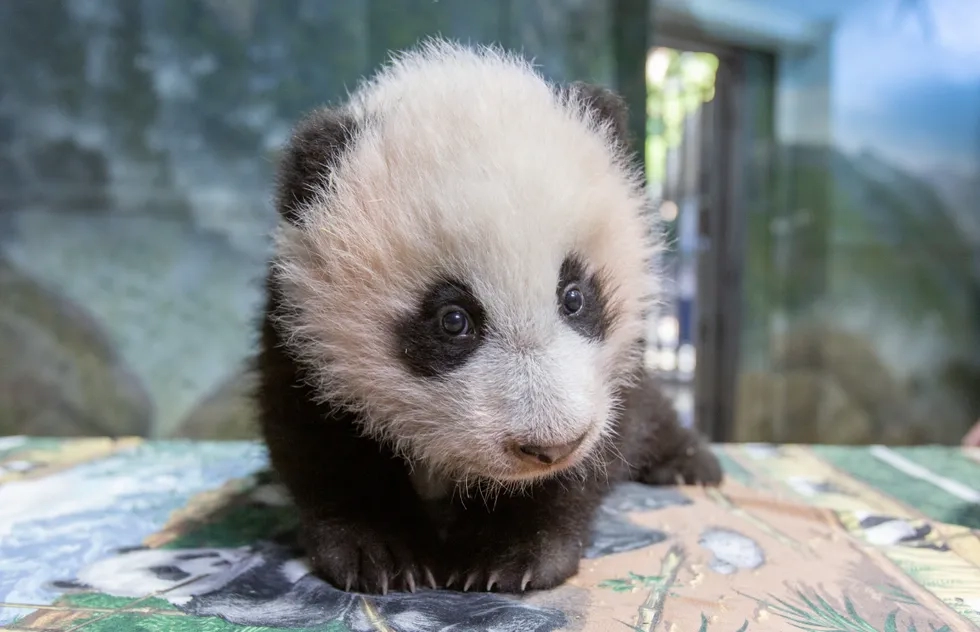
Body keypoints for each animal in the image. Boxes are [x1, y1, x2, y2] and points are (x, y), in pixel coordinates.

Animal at [257, 38, 723, 596]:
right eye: (453, 320)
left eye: (574, 297)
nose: (551, 446)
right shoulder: (300, 331)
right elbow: (321, 437)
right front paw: (381, 551)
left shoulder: (611, 369)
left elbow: (607, 437)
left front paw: (512, 550)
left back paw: (689, 463)